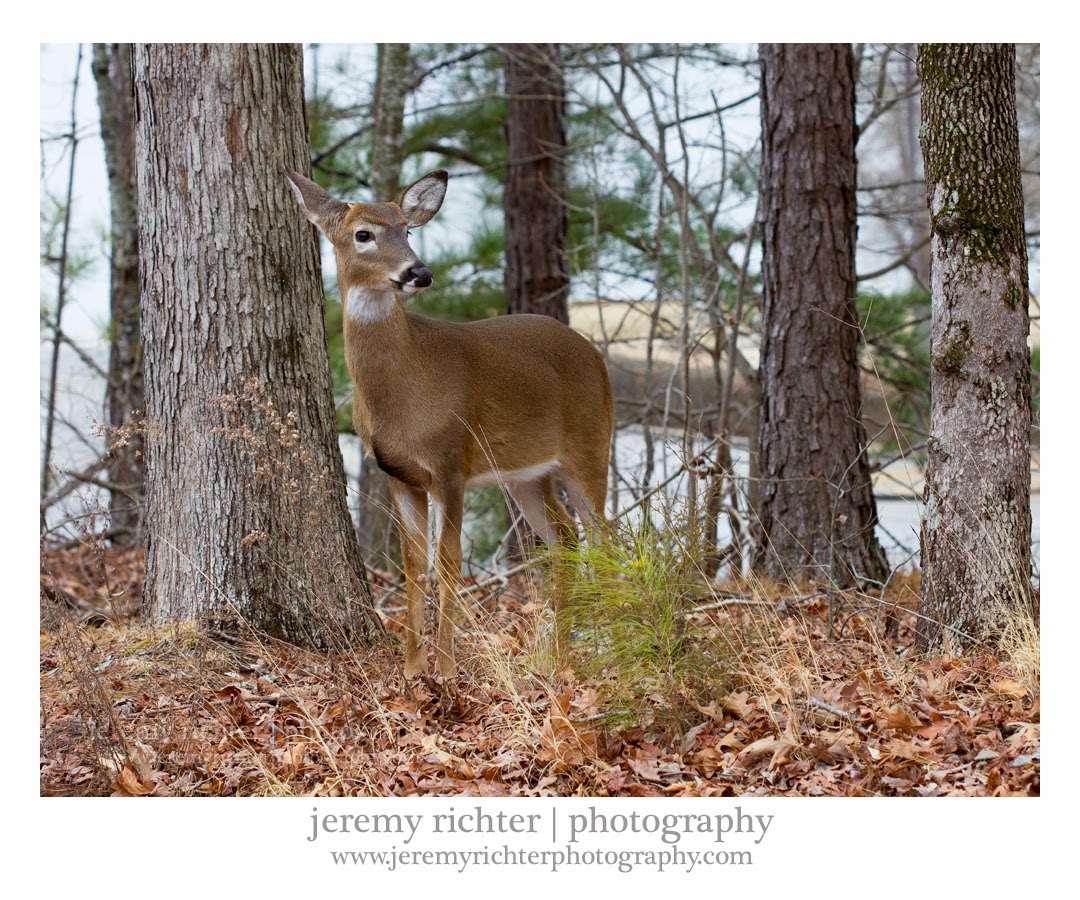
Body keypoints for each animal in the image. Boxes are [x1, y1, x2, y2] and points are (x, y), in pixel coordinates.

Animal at [284, 166, 614, 678]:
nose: (419, 272)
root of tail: (595, 354)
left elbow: (449, 561)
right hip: (527, 475)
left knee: (605, 539)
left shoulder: (450, 462)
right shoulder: (399, 474)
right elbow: (413, 564)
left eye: (408, 230)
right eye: (364, 234)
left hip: (590, 447)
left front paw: (446, 667)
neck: (405, 389)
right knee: (565, 538)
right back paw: (556, 653)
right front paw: (411, 667)